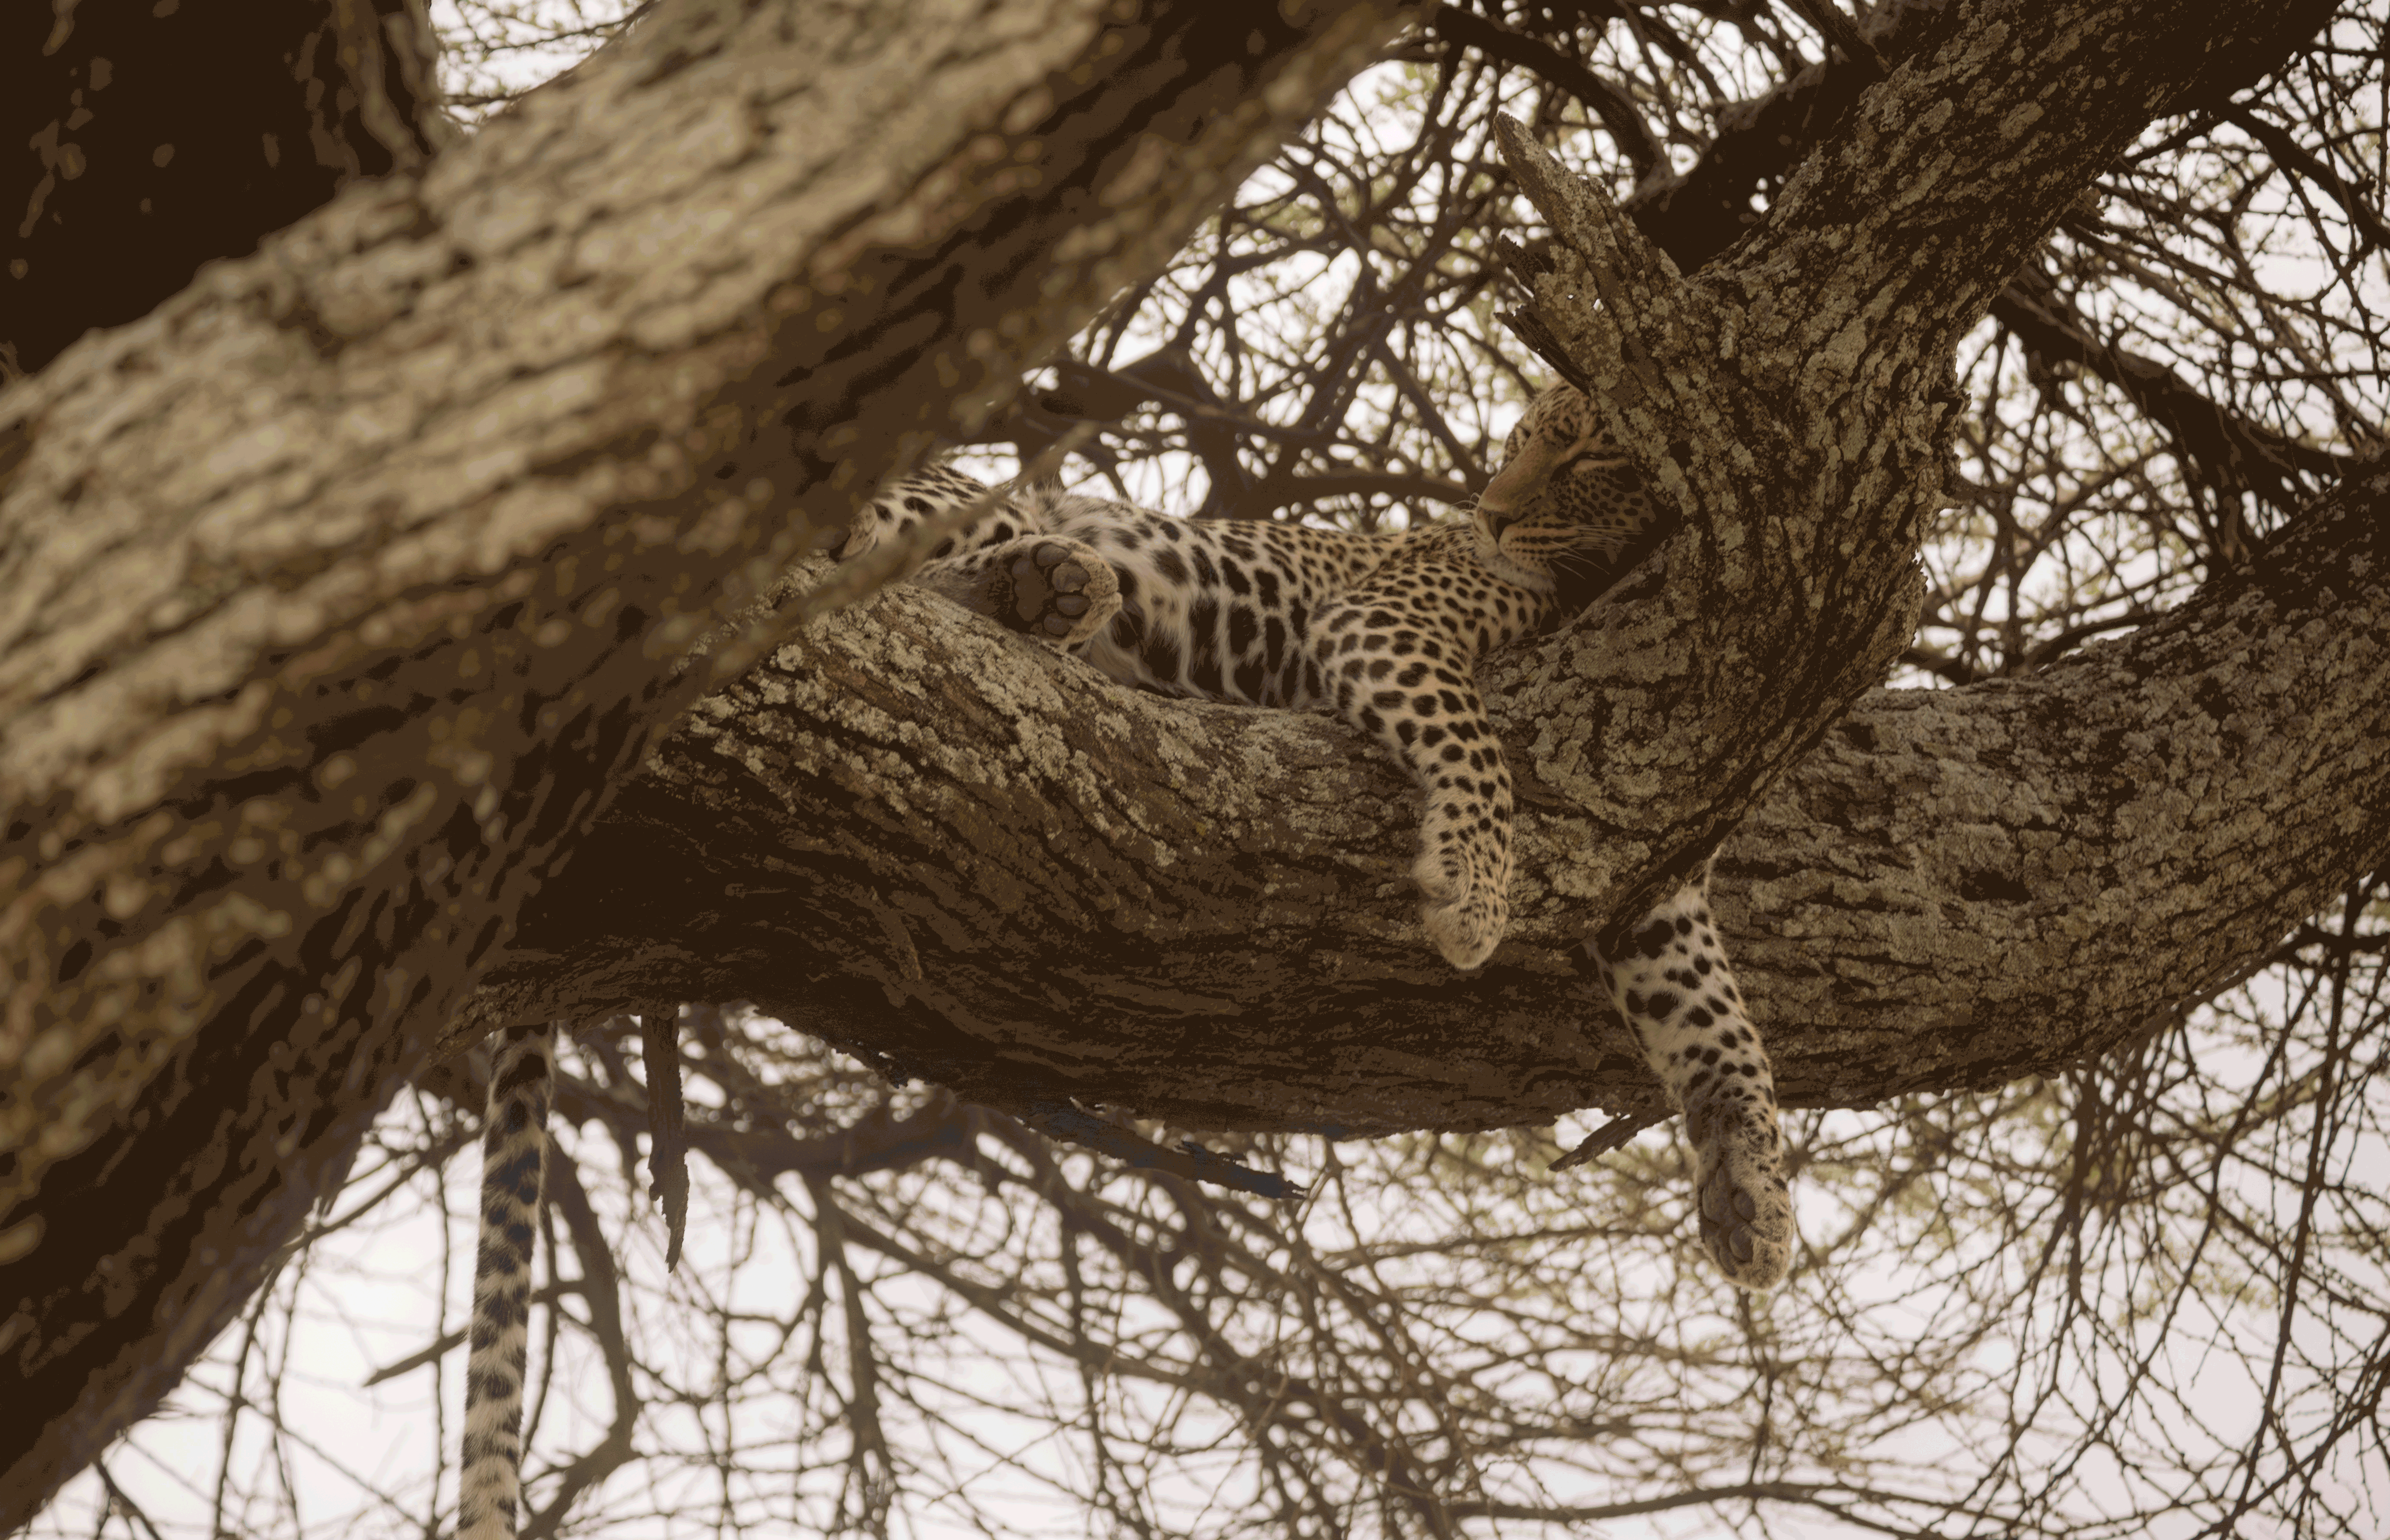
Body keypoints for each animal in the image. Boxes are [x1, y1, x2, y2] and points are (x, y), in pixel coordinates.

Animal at [453, 383, 1792, 1536]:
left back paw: (1046, 594)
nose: (1491, 511)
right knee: (886, 563)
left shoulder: (1653, 837)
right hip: (951, 503)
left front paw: (1753, 1195)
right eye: (1520, 442)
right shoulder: (1393, 622)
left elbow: (1716, 1010)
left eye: (1589, 455)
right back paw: (1036, 582)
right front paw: (1468, 886)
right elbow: (1475, 748)